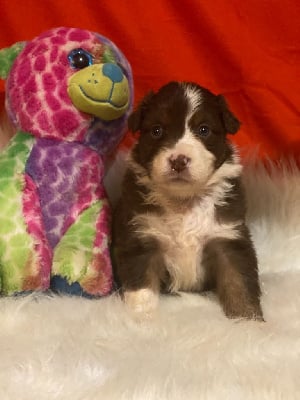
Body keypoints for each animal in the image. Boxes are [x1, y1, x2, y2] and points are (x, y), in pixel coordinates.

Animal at [112, 82, 262, 322]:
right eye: (157, 130)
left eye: (204, 130)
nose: (179, 161)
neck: (183, 201)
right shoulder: (141, 238)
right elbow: (142, 289)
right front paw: (142, 319)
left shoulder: (227, 238)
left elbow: (239, 283)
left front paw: (250, 322)